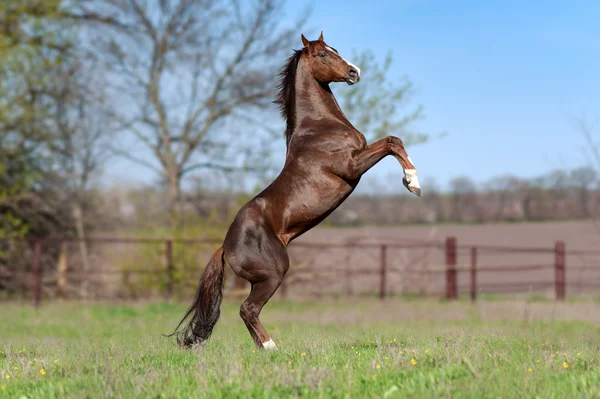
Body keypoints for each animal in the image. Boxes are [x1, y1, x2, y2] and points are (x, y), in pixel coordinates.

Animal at [171, 31, 420, 350]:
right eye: (323, 54)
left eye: (334, 49)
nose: (355, 72)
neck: (320, 127)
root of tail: (225, 246)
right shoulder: (352, 166)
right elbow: (391, 141)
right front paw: (413, 183)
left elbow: (394, 140)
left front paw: (411, 181)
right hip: (274, 272)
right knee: (247, 309)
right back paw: (272, 349)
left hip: (262, 279)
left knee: (247, 313)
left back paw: (264, 350)